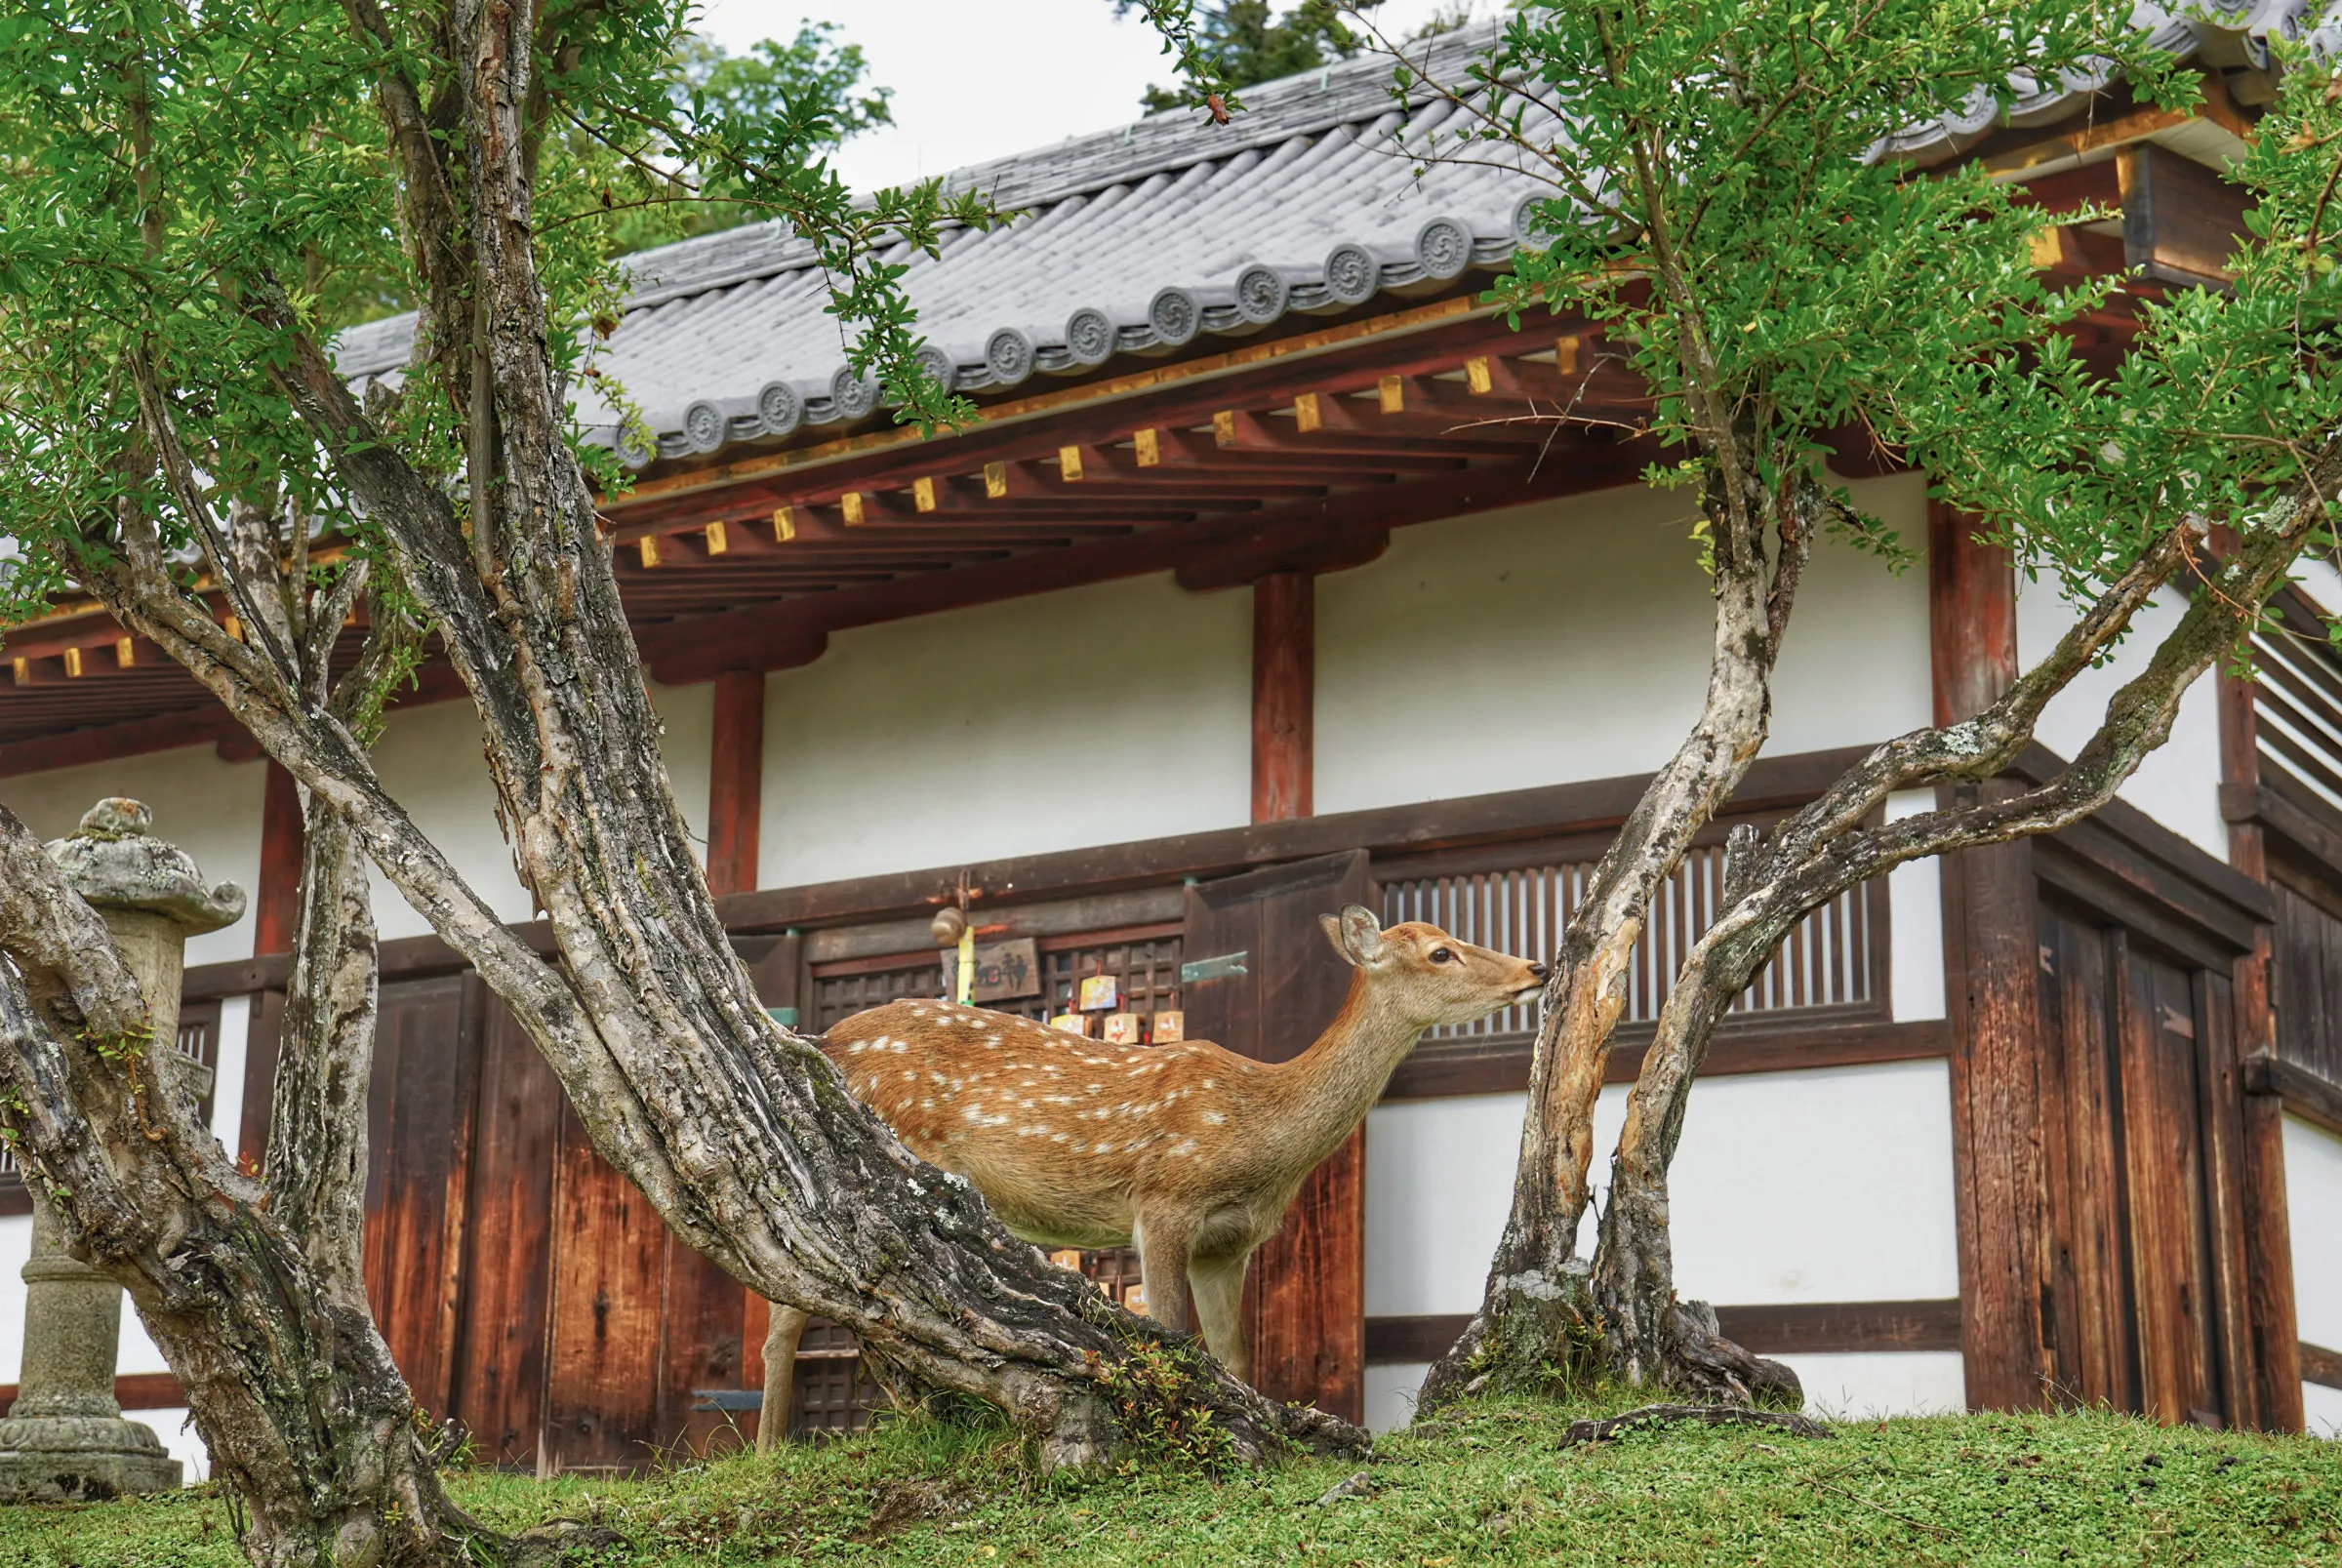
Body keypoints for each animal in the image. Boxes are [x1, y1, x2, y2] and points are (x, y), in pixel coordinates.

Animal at [755, 904, 1546, 1448]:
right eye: (1442, 952)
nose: (1535, 969)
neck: (1261, 1138)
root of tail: (824, 1042)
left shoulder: (1229, 1242)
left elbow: (1231, 1353)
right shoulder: (1164, 1201)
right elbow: (1169, 1331)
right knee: (791, 1308)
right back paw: (768, 1456)